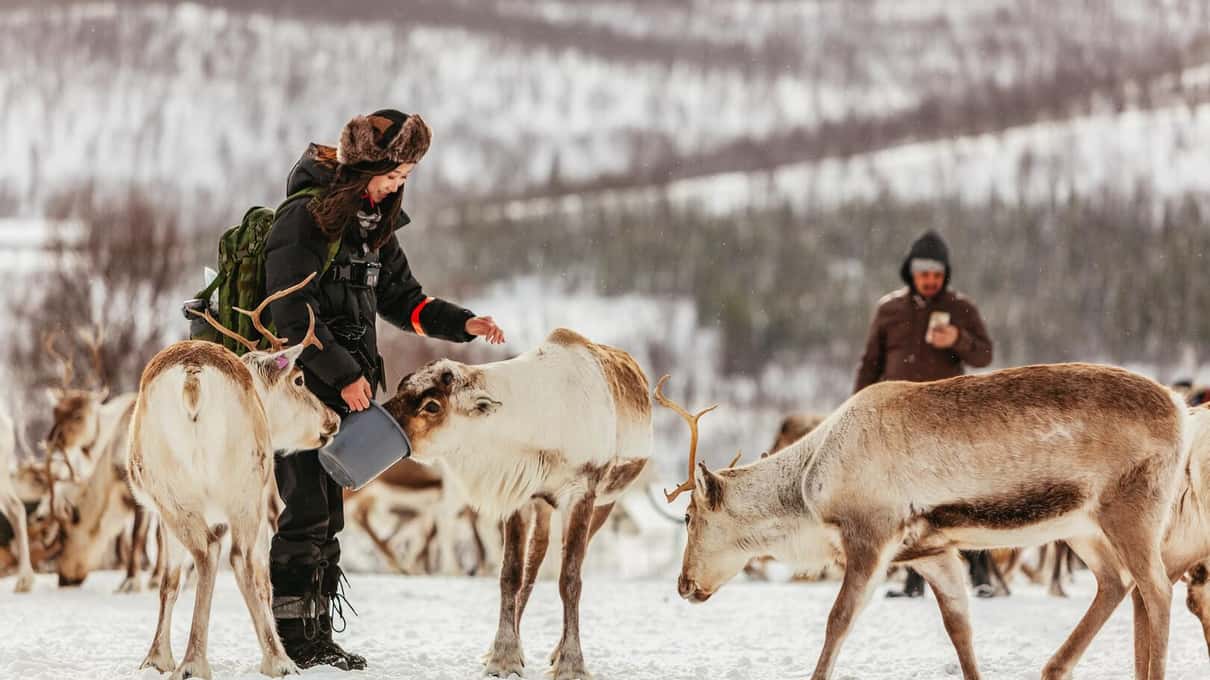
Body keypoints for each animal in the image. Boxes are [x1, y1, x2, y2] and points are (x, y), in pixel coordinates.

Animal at [129, 273, 340, 680]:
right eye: (300, 380)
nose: (332, 419)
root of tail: (192, 378)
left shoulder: (160, 513)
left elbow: (169, 581)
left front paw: (157, 659)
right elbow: (263, 579)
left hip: (171, 488)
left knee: (202, 553)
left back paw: (187, 661)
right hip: (243, 488)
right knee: (238, 559)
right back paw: (271, 659)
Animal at [382, 327, 651, 680]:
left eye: (432, 405)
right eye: (402, 385)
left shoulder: (582, 494)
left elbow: (570, 579)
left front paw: (571, 662)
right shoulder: (518, 495)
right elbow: (510, 573)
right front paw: (503, 656)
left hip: (606, 502)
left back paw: (556, 651)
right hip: (544, 505)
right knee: (535, 559)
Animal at [657, 364, 1193, 680]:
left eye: (688, 515)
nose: (683, 585)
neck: (810, 492)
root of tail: (1181, 408)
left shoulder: (870, 534)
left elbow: (838, 620)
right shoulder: (935, 550)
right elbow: (960, 629)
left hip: (1131, 510)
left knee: (1157, 590)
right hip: (1083, 526)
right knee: (1117, 583)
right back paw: (1054, 667)